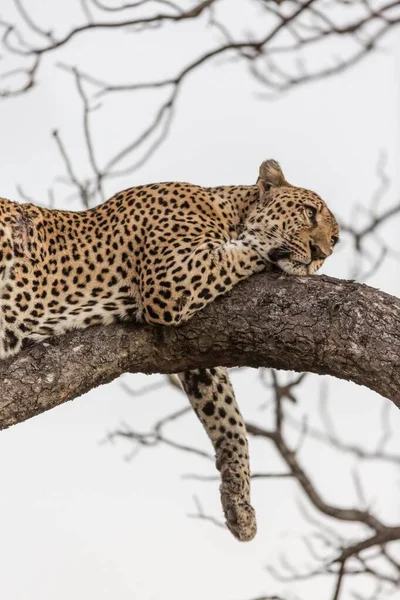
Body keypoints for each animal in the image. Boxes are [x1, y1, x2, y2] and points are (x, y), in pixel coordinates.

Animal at [0, 159, 338, 544]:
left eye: (335, 240)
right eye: (309, 212)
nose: (320, 253)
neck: (227, 210)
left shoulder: (196, 353)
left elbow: (227, 415)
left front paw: (238, 502)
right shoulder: (170, 279)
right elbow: (245, 248)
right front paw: (267, 241)